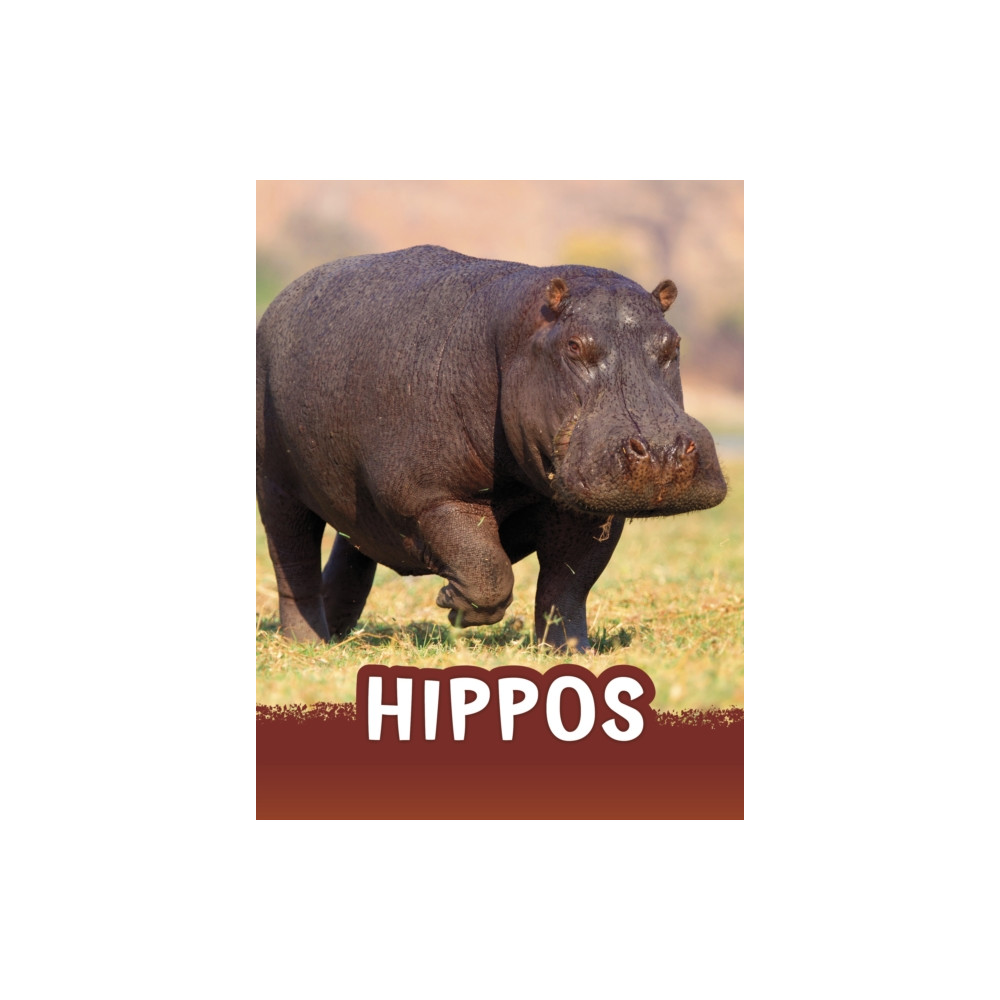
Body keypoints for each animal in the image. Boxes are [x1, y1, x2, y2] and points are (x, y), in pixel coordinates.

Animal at [256, 245, 727, 651]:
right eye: (573, 345)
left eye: (673, 343)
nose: (663, 450)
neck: (511, 338)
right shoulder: (431, 497)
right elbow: (487, 569)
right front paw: (452, 605)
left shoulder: (592, 508)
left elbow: (567, 586)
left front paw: (570, 652)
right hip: (276, 487)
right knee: (293, 564)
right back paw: (306, 642)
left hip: (354, 502)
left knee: (352, 550)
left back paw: (337, 633)